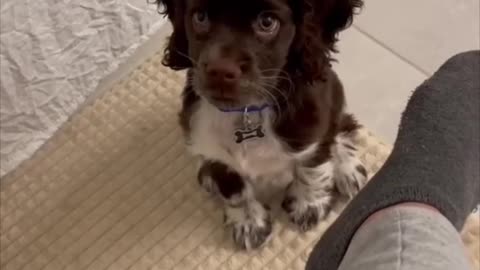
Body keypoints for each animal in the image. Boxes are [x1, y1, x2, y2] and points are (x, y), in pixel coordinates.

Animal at [156, 0, 366, 250]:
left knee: (341, 127)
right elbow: (234, 190)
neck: (247, 111)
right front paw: (248, 224)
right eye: (200, 17)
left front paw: (309, 205)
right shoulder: (210, 146)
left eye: (267, 22)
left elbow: (312, 169)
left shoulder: (311, 129)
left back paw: (348, 169)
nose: (219, 71)